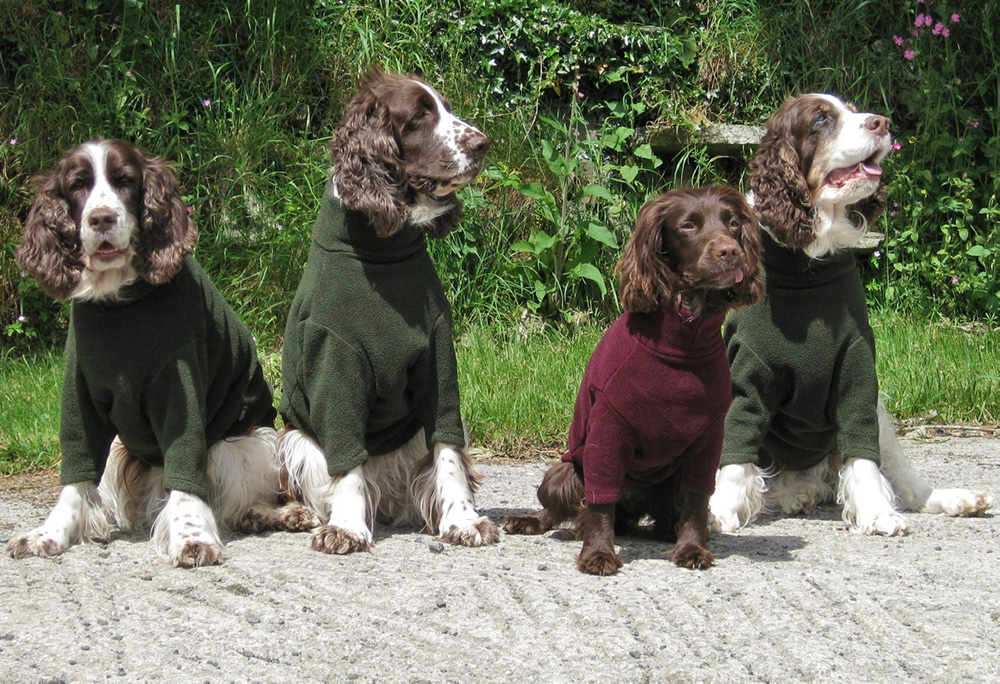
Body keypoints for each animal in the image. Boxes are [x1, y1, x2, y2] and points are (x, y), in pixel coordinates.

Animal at [504, 186, 760, 572]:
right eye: (688, 226)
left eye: (733, 223)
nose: (730, 251)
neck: (682, 341)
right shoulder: (609, 426)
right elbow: (600, 502)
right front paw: (598, 554)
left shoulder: (709, 435)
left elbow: (697, 499)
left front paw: (692, 549)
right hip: (561, 473)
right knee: (565, 510)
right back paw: (535, 522)